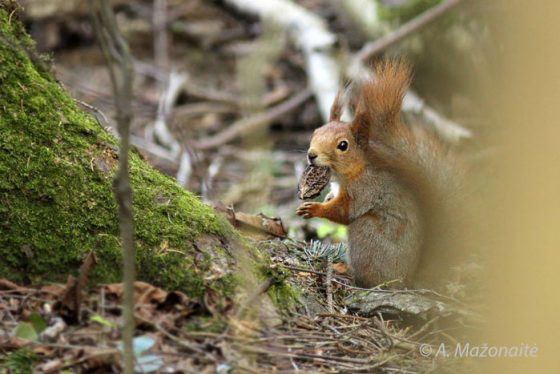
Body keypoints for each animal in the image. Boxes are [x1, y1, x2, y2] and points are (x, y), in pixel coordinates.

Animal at [296, 60, 462, 290]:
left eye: (343, 145)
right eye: (315, 132)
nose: (311, 154)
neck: (348, 175)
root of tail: (407, 279)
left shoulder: (365, 189)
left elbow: (345, 211)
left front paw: (314, 208)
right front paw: (326, 198)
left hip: (366, 233)